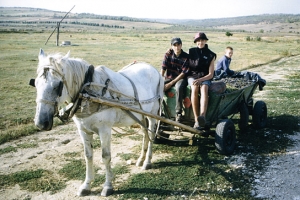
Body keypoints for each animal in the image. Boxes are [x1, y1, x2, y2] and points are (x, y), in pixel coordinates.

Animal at [31, 48, 164, 197]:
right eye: (35, 84)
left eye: (57, 86)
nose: (41, 123)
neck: (88, 92)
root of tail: (154, 70)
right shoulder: (83, 130)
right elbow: (88, 156)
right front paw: (86, 185)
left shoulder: (104, 130)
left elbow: (106, 157)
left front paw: (108, 186)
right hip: (141, 116)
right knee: (145, 134)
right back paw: (141, 159)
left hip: (152, 114)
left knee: (151, 135)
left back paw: (147, 161)